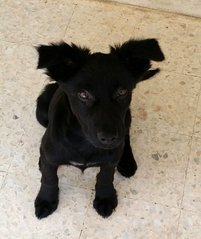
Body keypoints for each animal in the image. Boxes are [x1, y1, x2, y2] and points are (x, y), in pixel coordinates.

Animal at [34, 37, 165, 218]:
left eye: (122, 92)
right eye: (83, 94)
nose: (109, 138)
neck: (84, 143)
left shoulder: (110, 159)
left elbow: (105, 177)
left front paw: (105, 197)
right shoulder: (50, 155)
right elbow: (49, 178)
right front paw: (46, 199)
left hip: (126, 119)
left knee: (126, 136)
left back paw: (127, 162)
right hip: (41, 112)